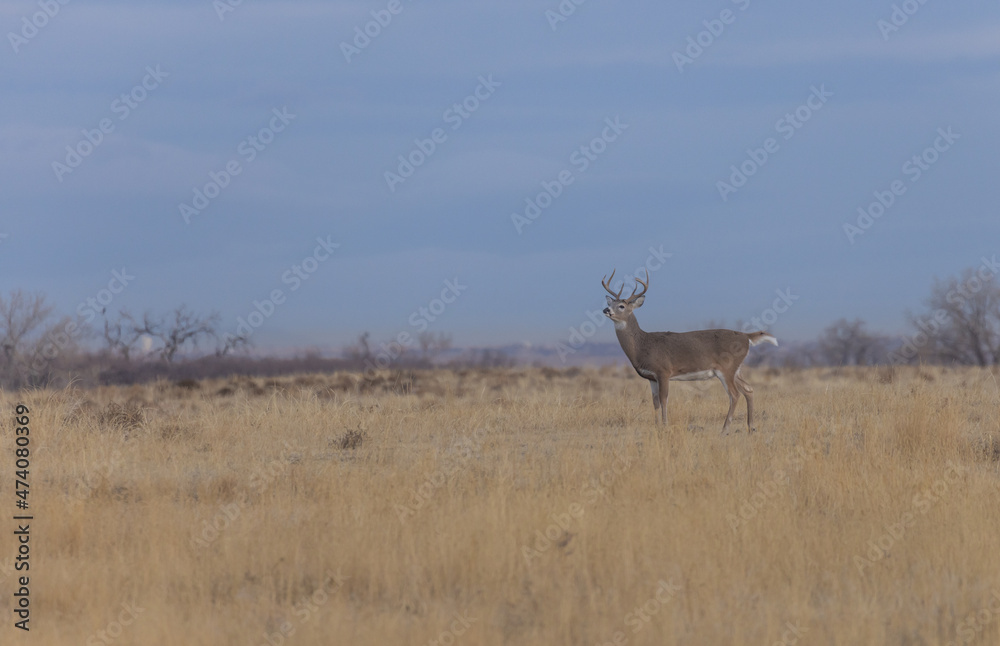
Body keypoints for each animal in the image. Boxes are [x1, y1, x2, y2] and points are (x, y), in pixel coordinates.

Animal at [602, 269, 777, 433]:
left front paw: (665, 426)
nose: (606, 310)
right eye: (610, 303)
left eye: (622, 306)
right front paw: (657, 426)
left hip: (726, 369)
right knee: (748, 389)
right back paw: (751, 427)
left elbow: (664, 399)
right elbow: (655, 402)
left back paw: (725, 429)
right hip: (737, 370)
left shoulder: (663, 371)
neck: (642, 345)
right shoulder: (651, 377)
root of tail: (746, 337)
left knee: (734, 394)